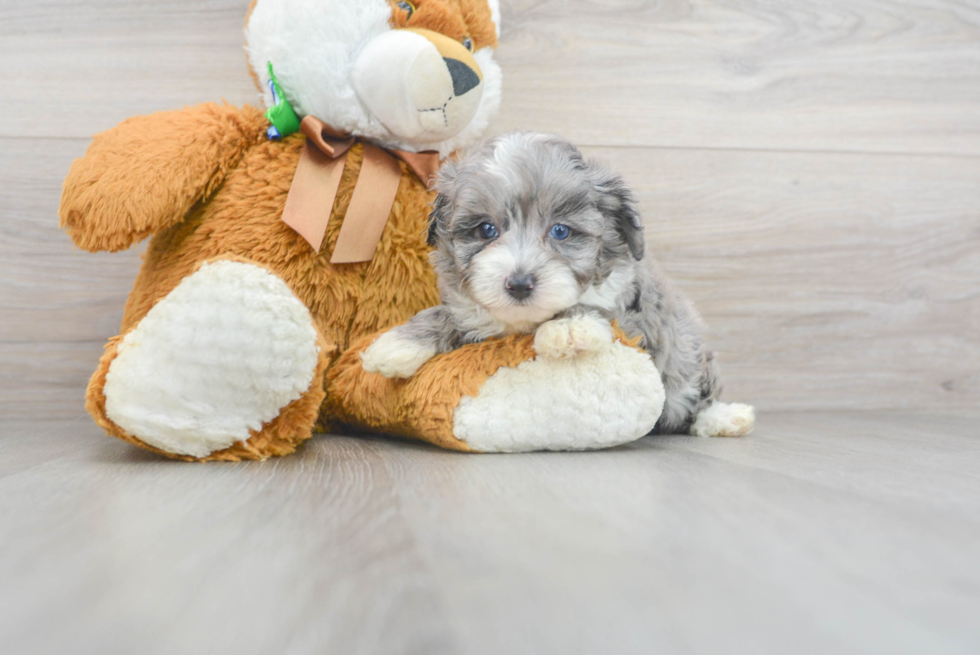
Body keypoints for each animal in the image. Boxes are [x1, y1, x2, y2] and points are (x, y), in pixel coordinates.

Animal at [364, 132, 756, 440]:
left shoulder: (633, 309)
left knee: (694, 390)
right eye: (486, 230)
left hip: (685, 353)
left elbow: (596, 306)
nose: (519, 283)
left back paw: (724, 417)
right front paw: (398, 344)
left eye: (561, 231)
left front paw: (569, 326)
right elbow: (448, 314)